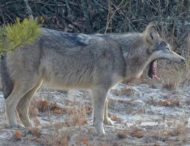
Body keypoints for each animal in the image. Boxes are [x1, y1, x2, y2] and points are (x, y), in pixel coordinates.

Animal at [0, 22, 184, 135]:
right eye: (167, 49)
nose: (183, 60)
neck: (122, 53)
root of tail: (13, 37)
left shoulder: (101, 88)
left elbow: (105, 107)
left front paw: (109, 122)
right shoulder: (100, 88)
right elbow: (99, 113)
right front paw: (101, 132)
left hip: (35, 85)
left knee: (21, 106)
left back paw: (31, 128)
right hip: (29, 83)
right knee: (10, 102)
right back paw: (14, 126)